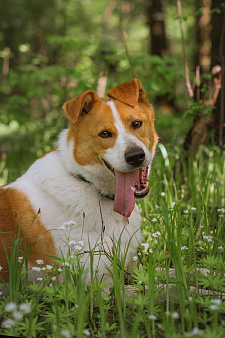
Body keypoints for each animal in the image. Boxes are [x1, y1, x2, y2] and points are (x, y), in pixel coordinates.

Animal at [0, 78, 158, 282]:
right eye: (105, 134)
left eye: (137, 123)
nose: (135, 156)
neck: (86, 181)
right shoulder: (98, 282)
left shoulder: (133, 269)